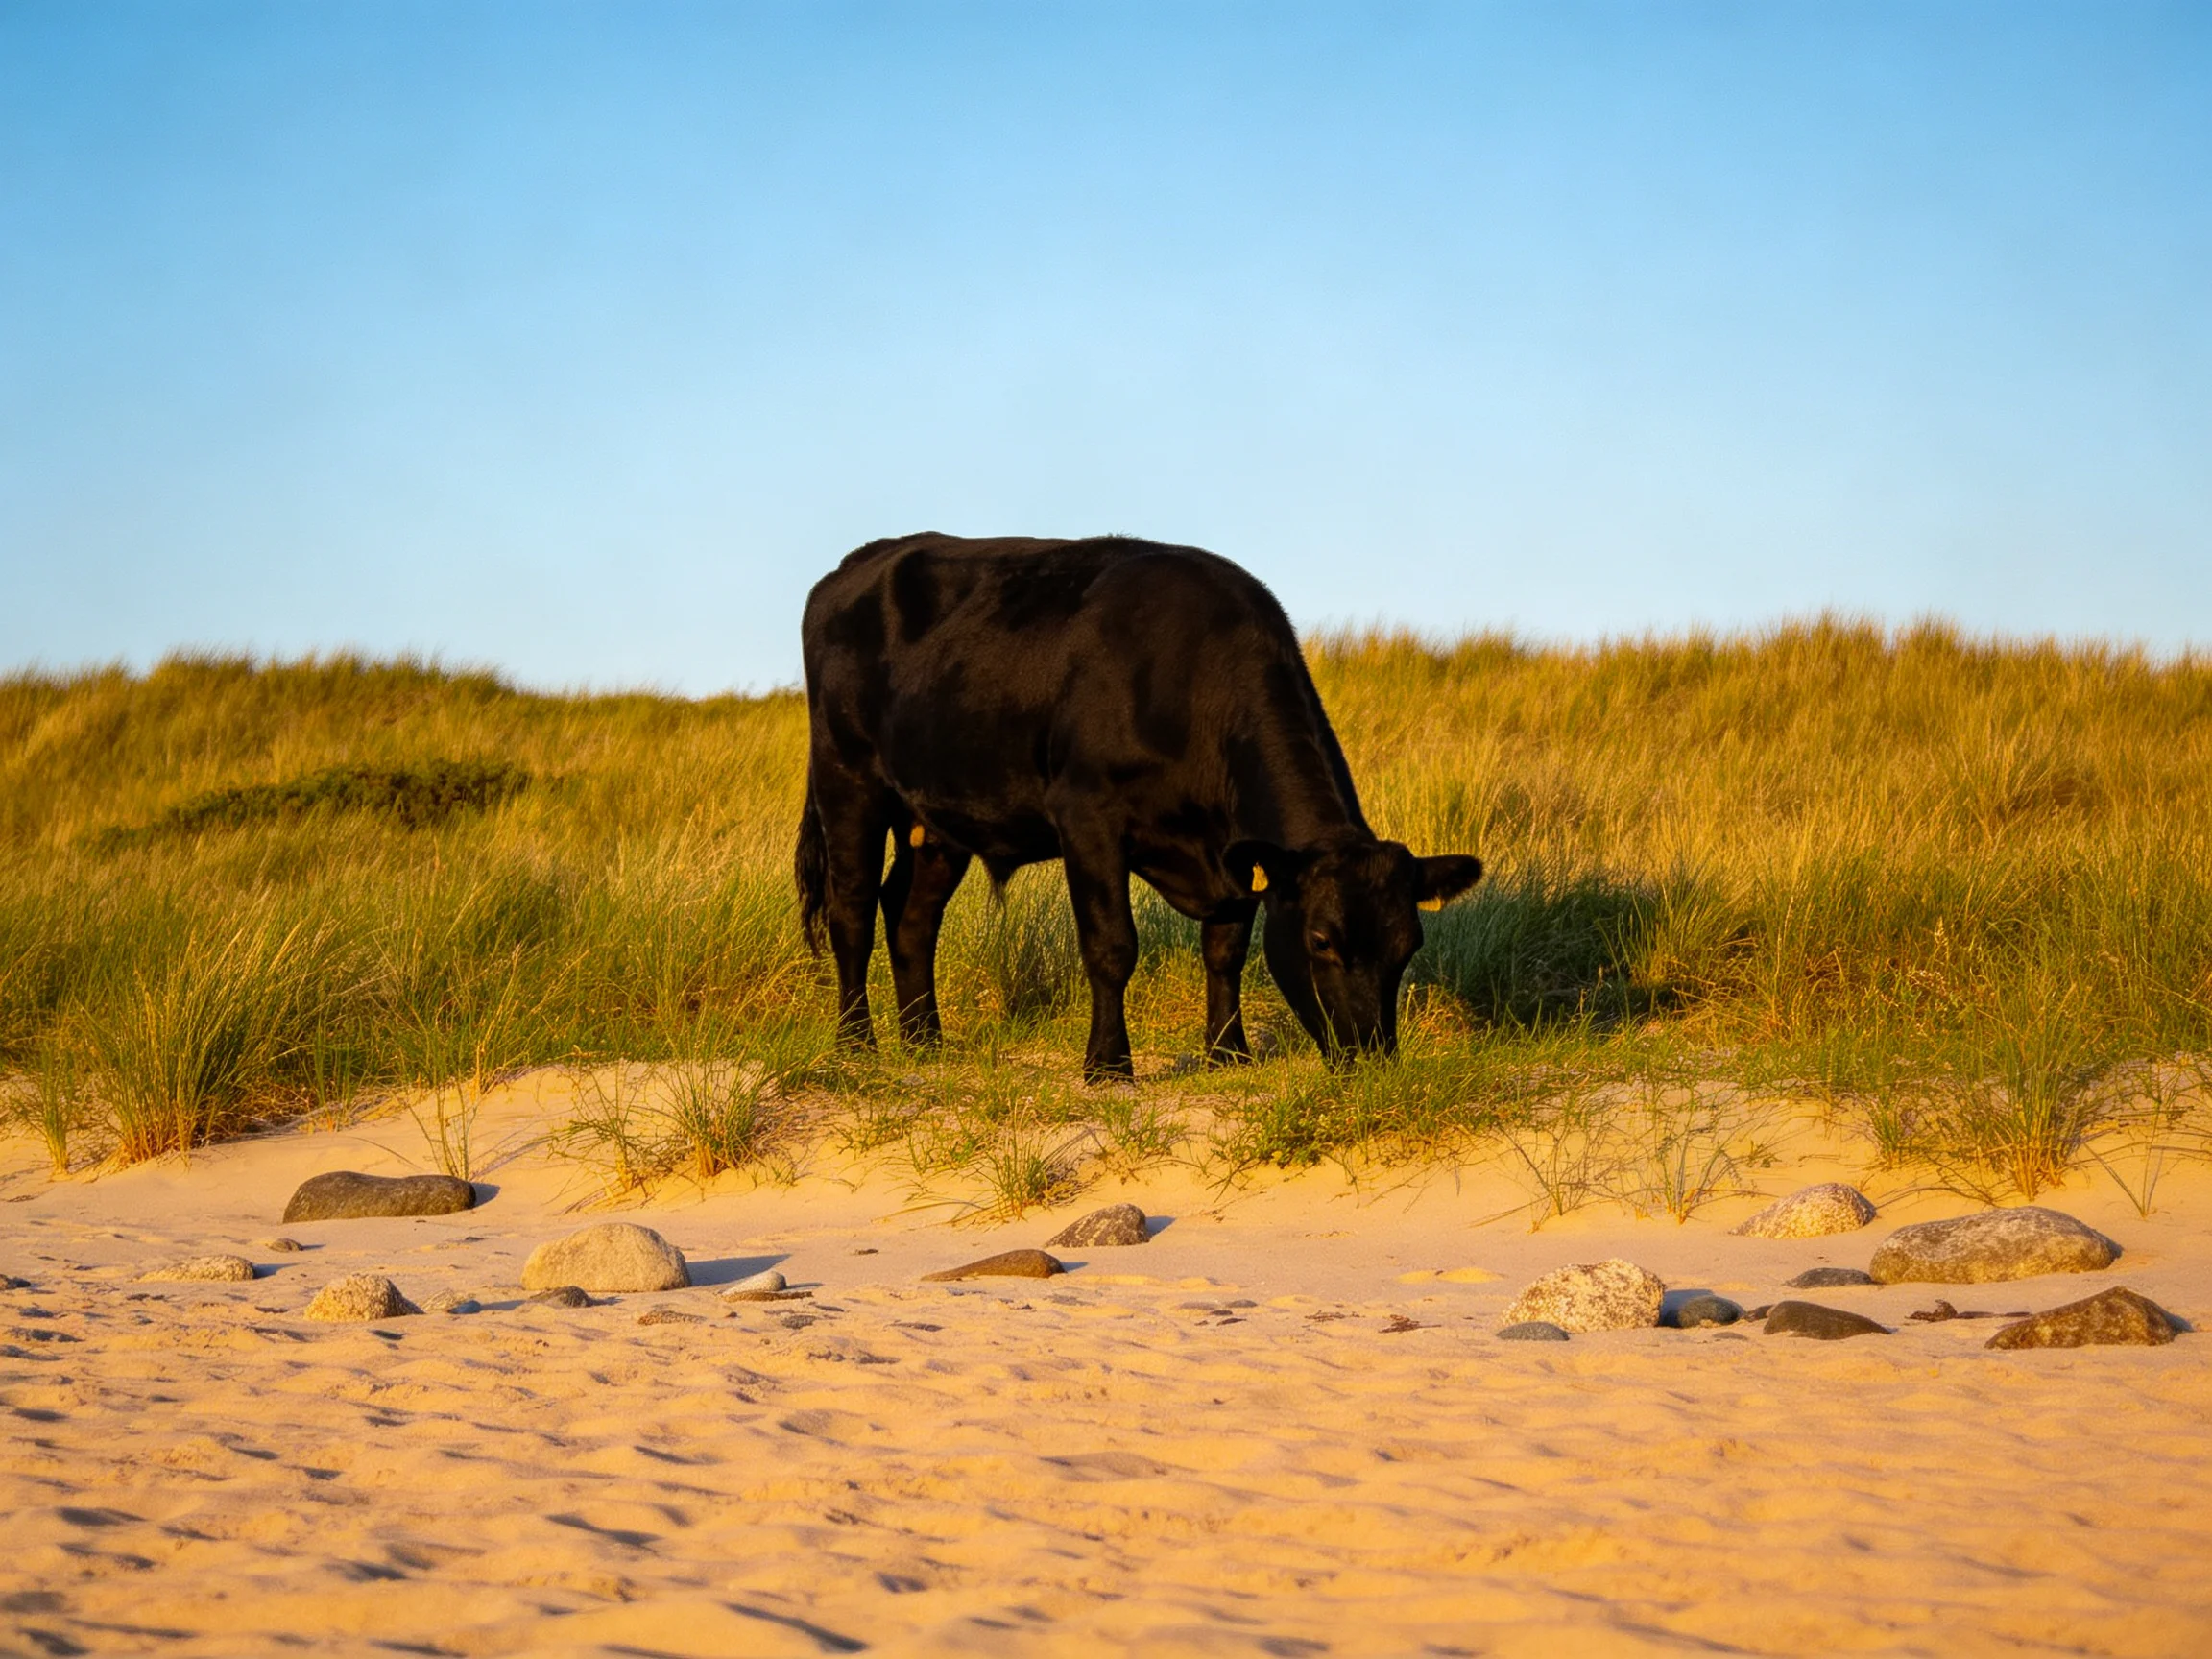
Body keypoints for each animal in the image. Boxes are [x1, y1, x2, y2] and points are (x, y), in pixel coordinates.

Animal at [794, 532, 1482, 1080]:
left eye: (1408, 945)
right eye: (1320, 940)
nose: (1371, 1058)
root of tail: (859, 561)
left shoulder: (1234, 855)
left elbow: (1226, 949)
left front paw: (1228, 1054)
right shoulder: (1087, 816)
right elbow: (1112, 946)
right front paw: (1107, 1066)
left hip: (938, 817)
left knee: (911, 916)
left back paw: (924, 1042)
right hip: (846, 775)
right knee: (852, 910)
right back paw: (857, 1045)